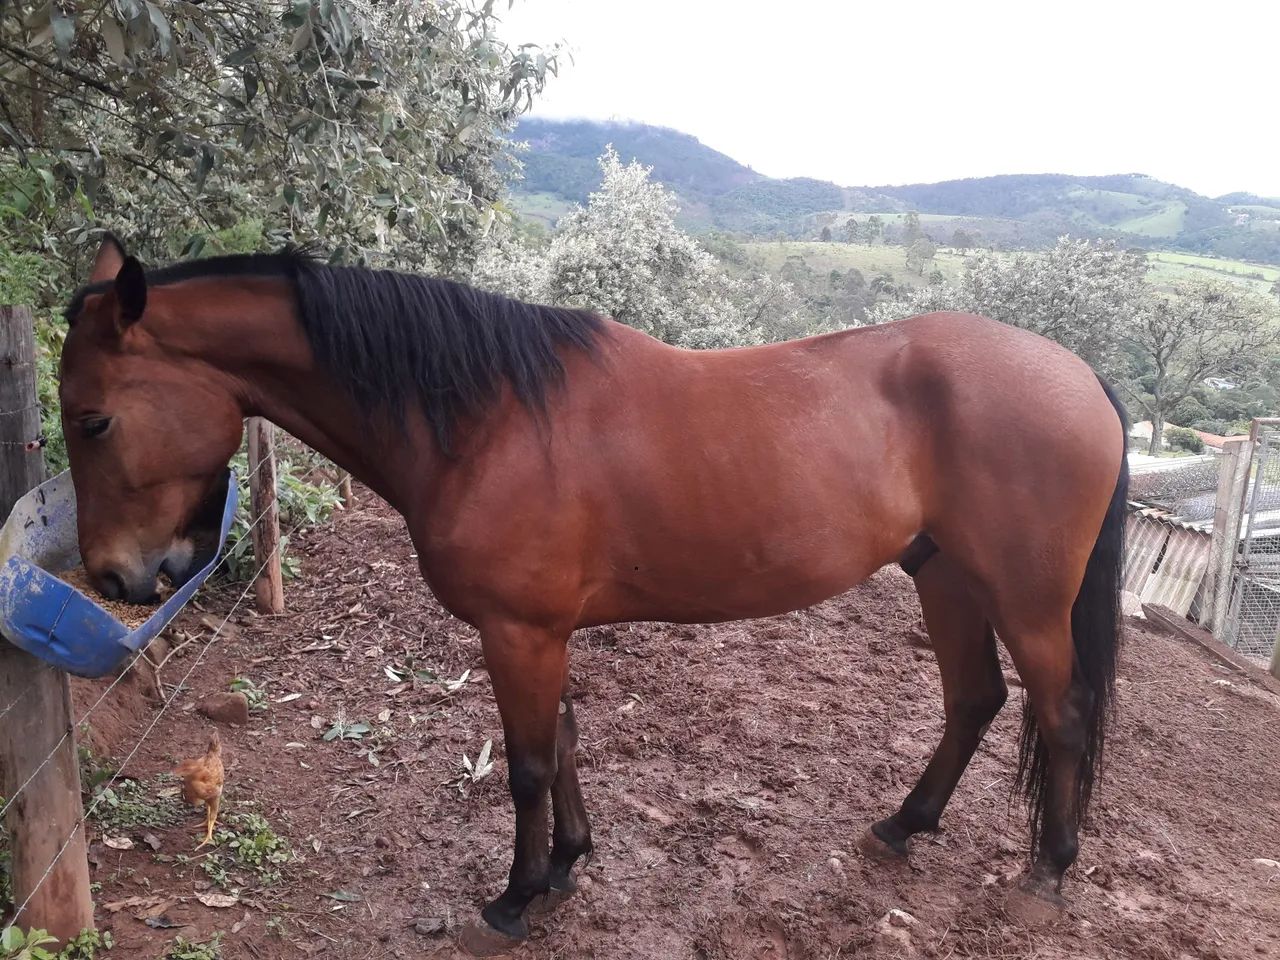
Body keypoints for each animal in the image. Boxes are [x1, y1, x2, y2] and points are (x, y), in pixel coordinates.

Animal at [60, 235, 1127, 953]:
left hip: (1027, 599)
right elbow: (565, 741)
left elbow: (529, 765)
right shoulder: (543, 633)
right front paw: (569, 864)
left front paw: (516, 898)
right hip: (943, 574)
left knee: (1062, 712)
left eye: (95, 419)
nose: (114, 577)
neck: (487, 420)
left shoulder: (519, 632)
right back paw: (905, 826)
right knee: (974, 700)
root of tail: (1081, 377)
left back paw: (1047, 874)